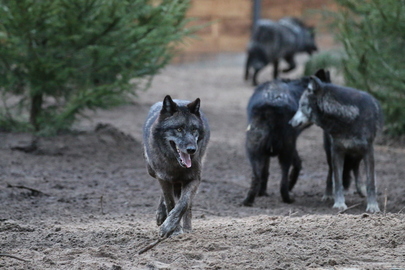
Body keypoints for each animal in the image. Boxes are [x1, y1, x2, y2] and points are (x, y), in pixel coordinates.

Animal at [142, 95, 210, 238]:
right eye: (179, 129)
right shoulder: (163, 178)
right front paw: (174, 229)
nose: (192, 150)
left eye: (194, 129)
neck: (177, 166)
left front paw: (169, 227)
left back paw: (188, 227)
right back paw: (161, 215)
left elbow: (183, 204)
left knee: (188, 204)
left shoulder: (195, 179)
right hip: (151, 171)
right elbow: (170, 203)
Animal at [240, 68, 328, 206]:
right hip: (284, 152)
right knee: (282, 181)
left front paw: (262, 192)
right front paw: (290, 184)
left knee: (257, 177)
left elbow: (265, 172)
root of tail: (272, 102)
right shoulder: (293, 143)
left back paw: (248, 200)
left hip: (254, 151)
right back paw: (288, 197)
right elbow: (298, 164)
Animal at [290, 76, 382, 213]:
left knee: (356, 167)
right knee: (331, 173)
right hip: (330, 154)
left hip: (358, 153)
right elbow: (338, 181)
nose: (290, 122)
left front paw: (372, 205)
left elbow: (371, 182)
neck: (347, 119)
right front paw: (339, 203)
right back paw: (328, 194)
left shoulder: (368, 151)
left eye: (302, 105)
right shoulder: (337, 151)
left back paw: (361, 189)